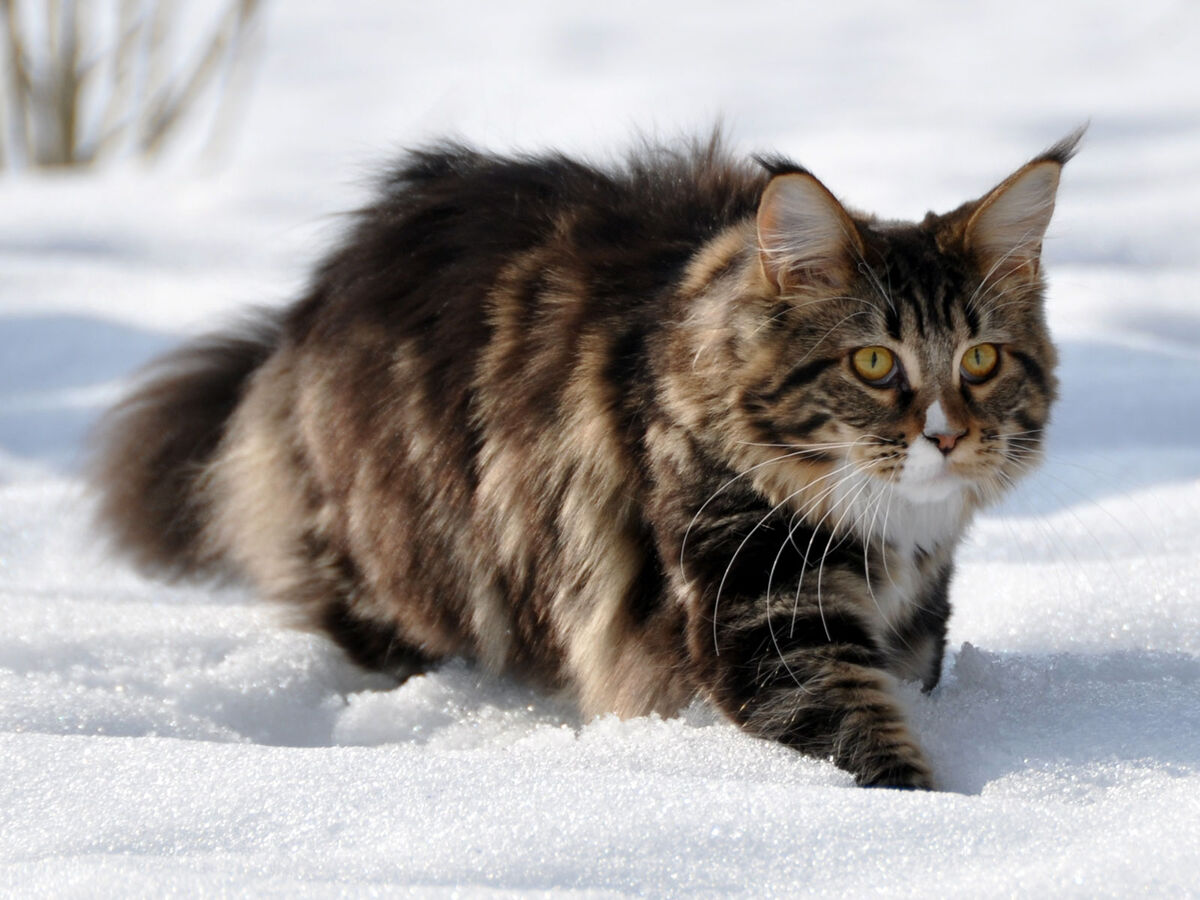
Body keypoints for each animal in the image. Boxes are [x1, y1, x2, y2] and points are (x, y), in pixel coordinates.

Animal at [93, 128, 1080, 787]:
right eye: (873, 363)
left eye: (981, 360)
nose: (946, 435)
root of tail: (308, 306)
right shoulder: (763, 614)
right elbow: (861, 738)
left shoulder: (913, 616)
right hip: (410, 555)